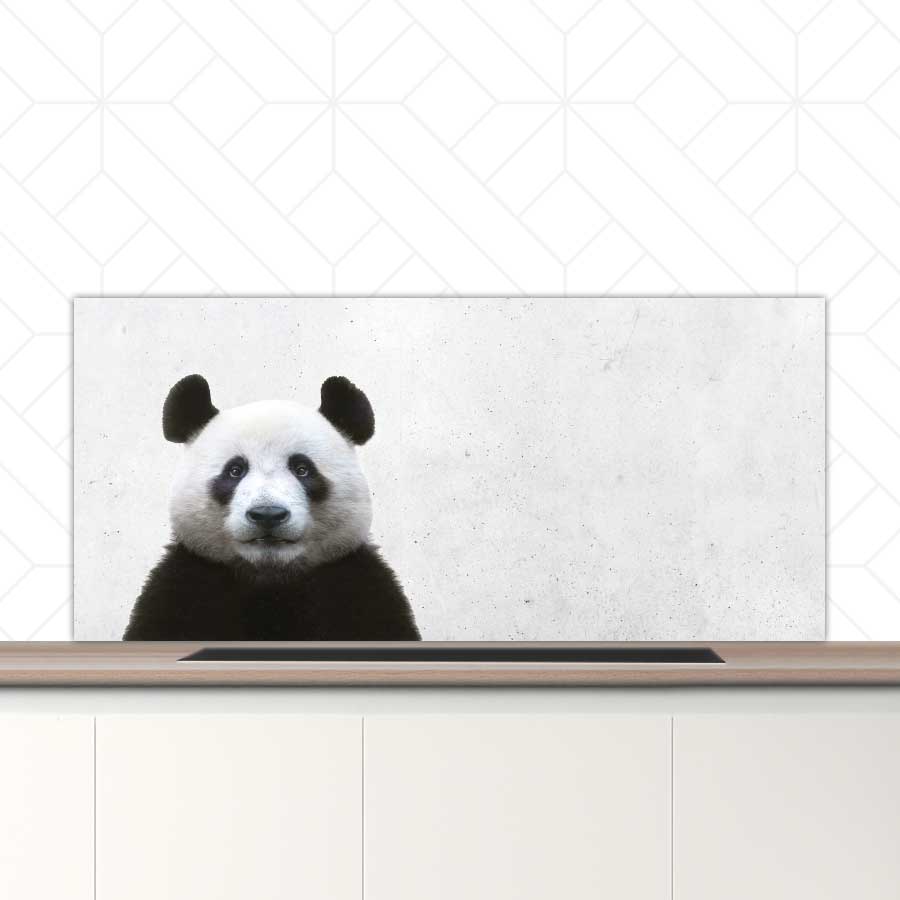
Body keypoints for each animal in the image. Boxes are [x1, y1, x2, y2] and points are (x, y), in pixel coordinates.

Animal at [123, 374, 420, 641]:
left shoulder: (357, 587)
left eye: (302, 469)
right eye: (235, 470)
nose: (267, 515)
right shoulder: (184, 587)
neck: (270, 580)